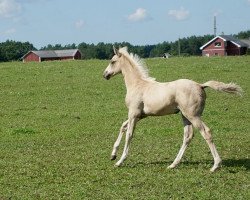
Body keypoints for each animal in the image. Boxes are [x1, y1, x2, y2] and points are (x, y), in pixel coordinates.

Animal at [102, 46, 241, 172]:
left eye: (112, 61)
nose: (105, 75)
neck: (138, 84)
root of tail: (200, 85)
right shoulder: (140, 115)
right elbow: (123, 127)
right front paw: (113, 155)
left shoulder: (133, 113)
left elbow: (129, 134)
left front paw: (120, 161)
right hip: (185, 116)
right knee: (188, 136)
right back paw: (173, 164)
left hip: (193, 116)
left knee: (206, 132)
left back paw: (215, 165)